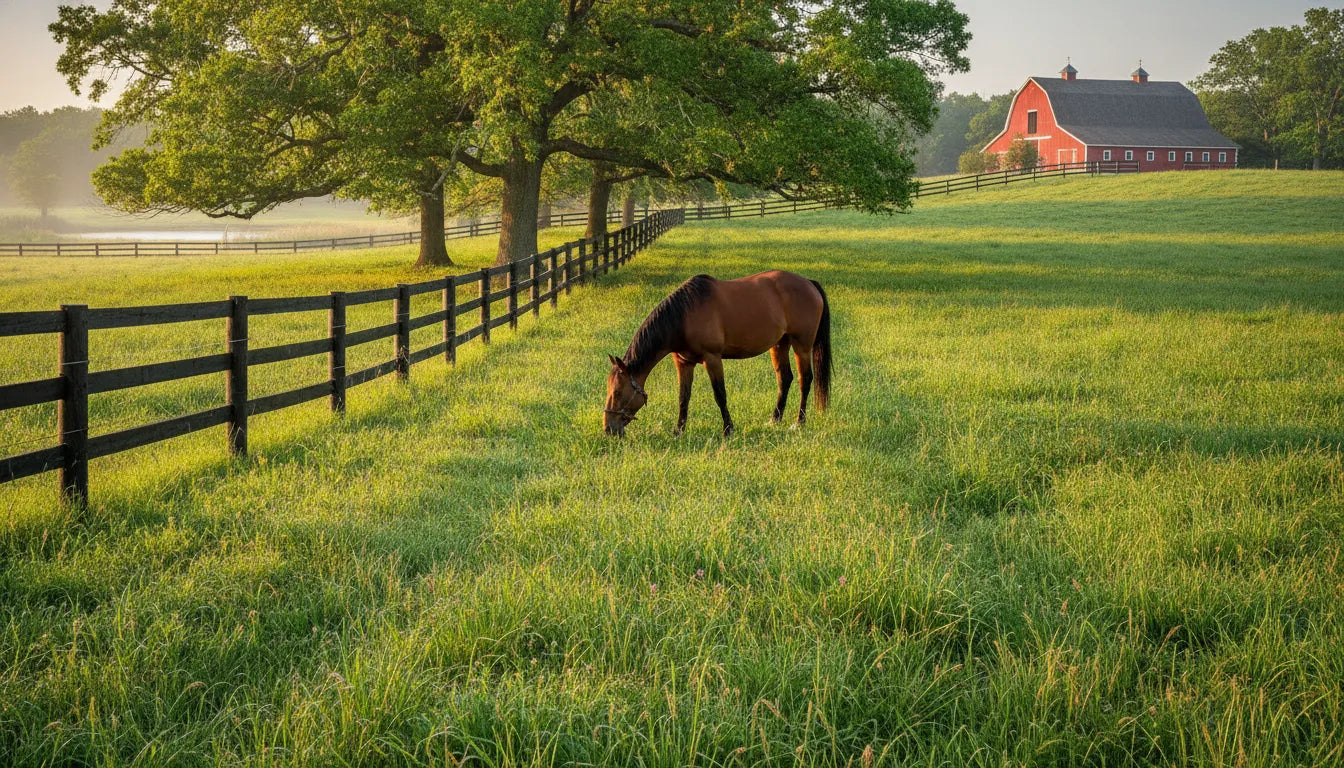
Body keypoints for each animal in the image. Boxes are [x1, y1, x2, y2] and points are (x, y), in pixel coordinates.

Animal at [603, 270, 831, 437]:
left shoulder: (712, 358)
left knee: (805, 379)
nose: (608, 428)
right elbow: (683, 397)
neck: (684, 315)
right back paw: (775, 419)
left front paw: (728, 429)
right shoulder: (683, 362)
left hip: (802, 345)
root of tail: (809, 283)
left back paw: (799, 422)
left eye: (617, 392)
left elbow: (720, 394)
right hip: (779, 345)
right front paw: (679, 430)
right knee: (785, 378)